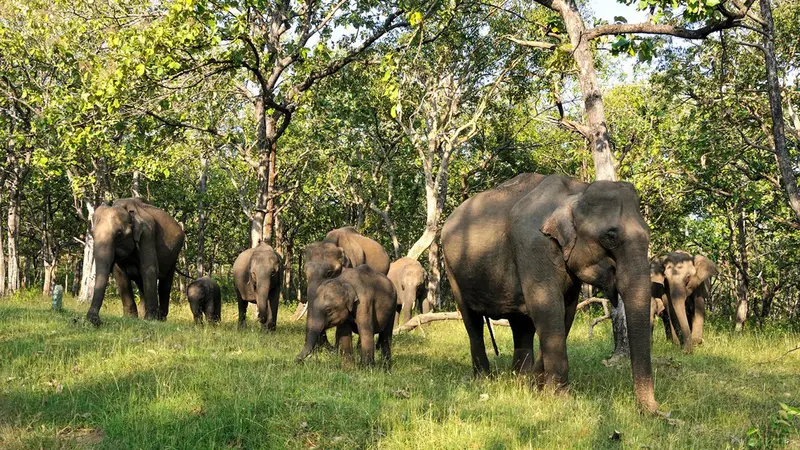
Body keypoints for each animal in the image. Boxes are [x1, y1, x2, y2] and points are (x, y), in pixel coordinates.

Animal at [442, 173, 659, 413]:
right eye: (610, 236)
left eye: (649, 235)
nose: (656, 411)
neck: (577, 190)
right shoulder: (534, 245)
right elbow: (547, 307)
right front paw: (560, 399)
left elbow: (565, 311)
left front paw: (536, 387)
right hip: (452, 269)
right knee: (472, 321)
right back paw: (484, 380)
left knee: (521, 325)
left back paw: (519, 379)